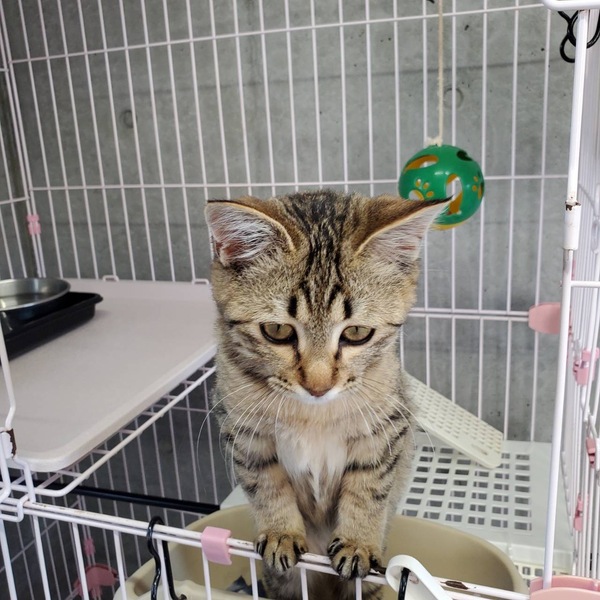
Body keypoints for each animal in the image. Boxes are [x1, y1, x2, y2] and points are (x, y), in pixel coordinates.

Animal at [205, 190, 446, 600]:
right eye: (277, 331)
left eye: (357, 333)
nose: (318, 386)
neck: (311, 414)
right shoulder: (241, 429)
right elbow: (265, 482)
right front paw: (281, 532)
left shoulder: (387, 426)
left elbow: (370, 486)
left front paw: (357, 541)